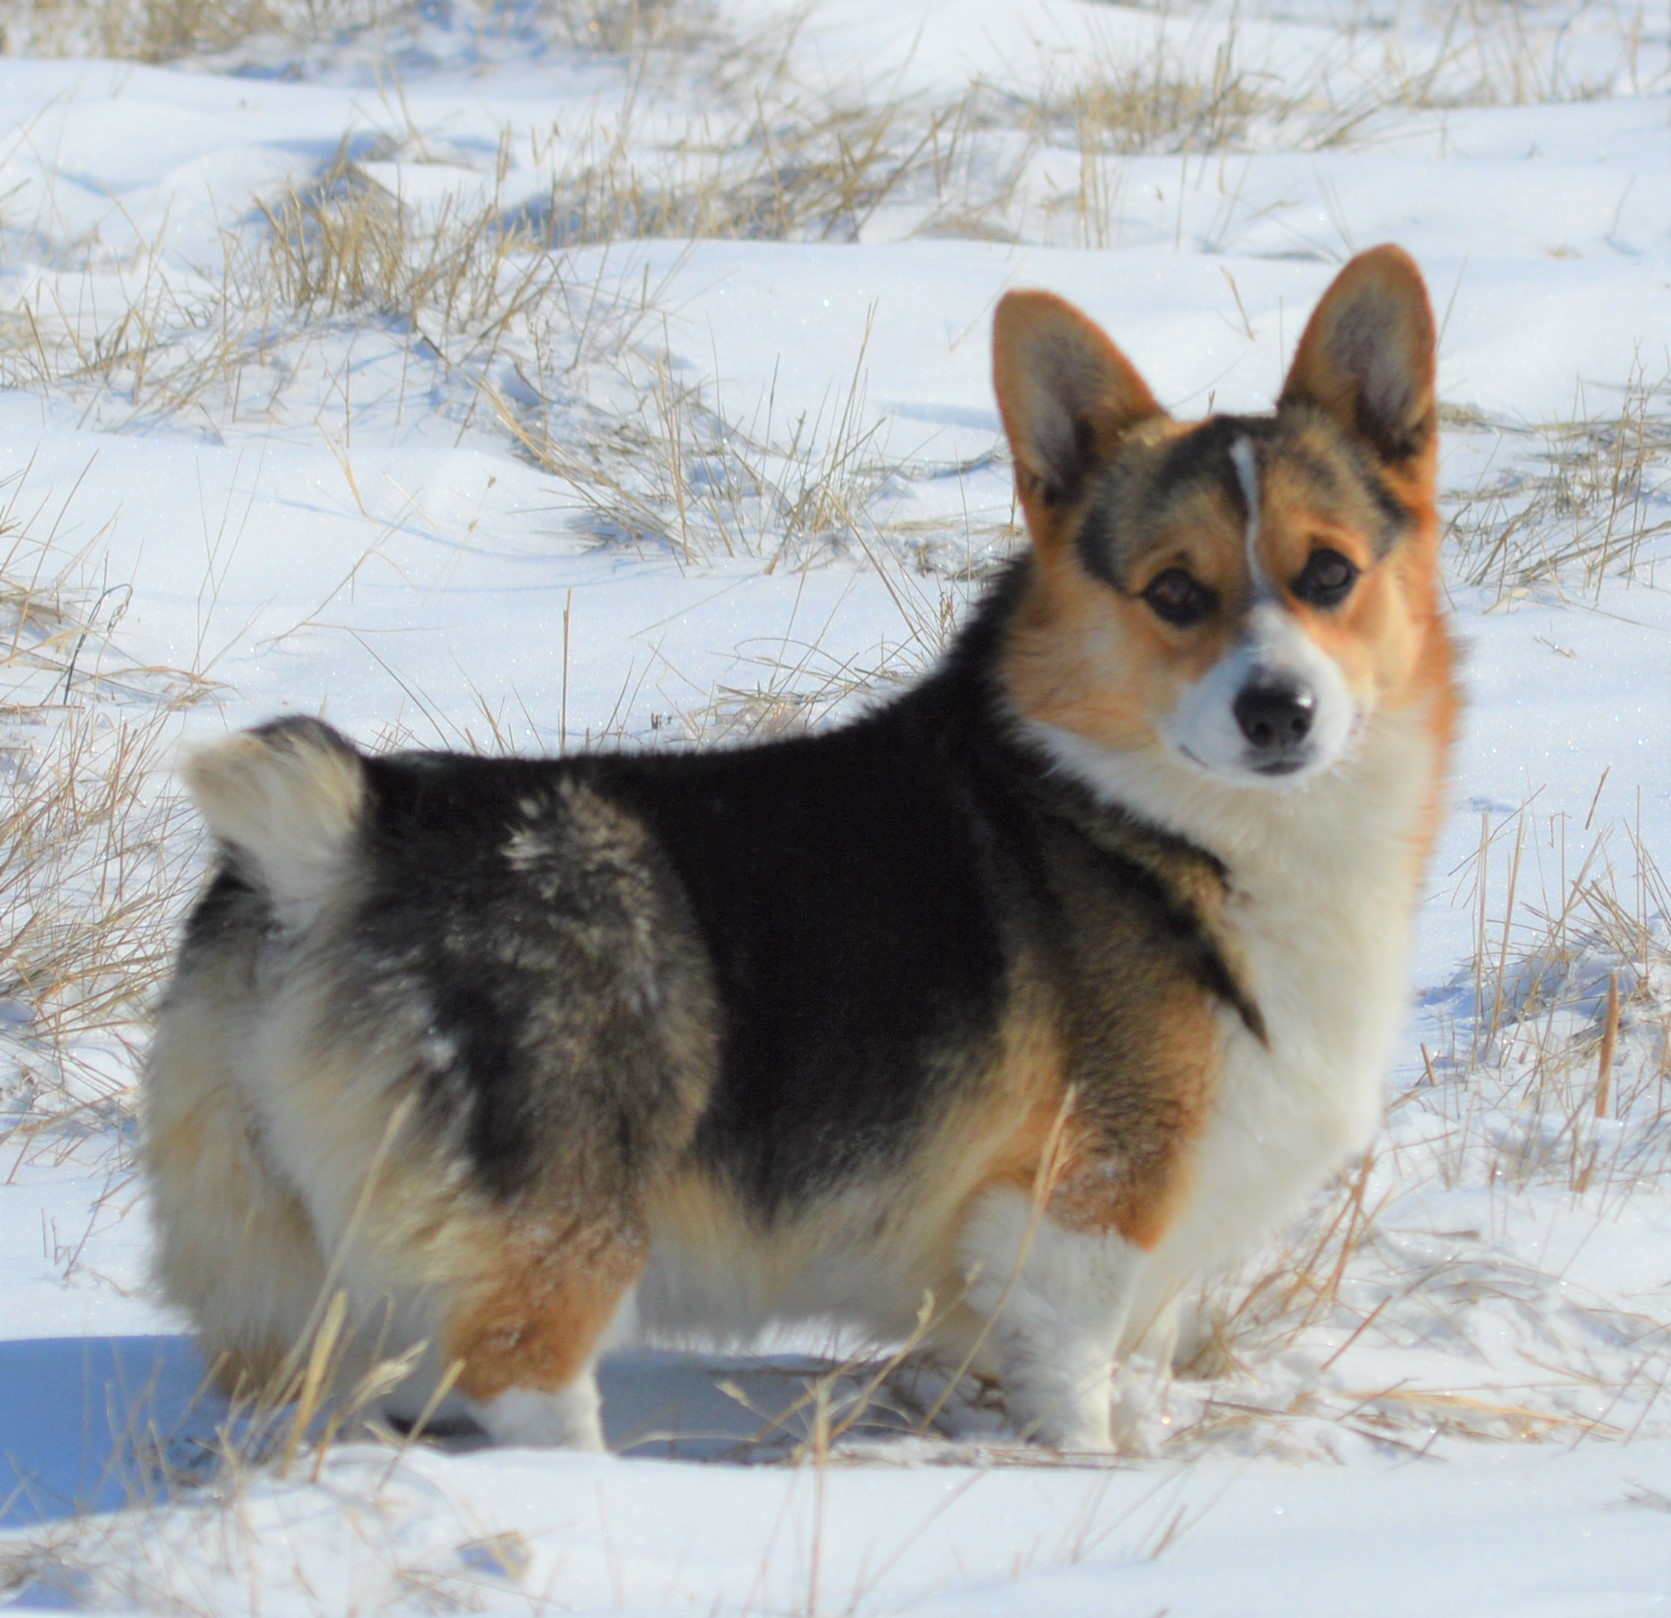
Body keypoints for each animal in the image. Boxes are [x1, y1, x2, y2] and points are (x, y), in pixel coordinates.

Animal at [140, 245, 1450, 1444]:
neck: (1158, 819)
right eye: (1175, 591)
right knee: (526, 1379)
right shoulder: (1080, 1220)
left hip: (300, 1284)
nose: (1279, 712)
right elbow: (1078, 1395)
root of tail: (340, 844)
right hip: (559, 1238)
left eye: (1329, 571)